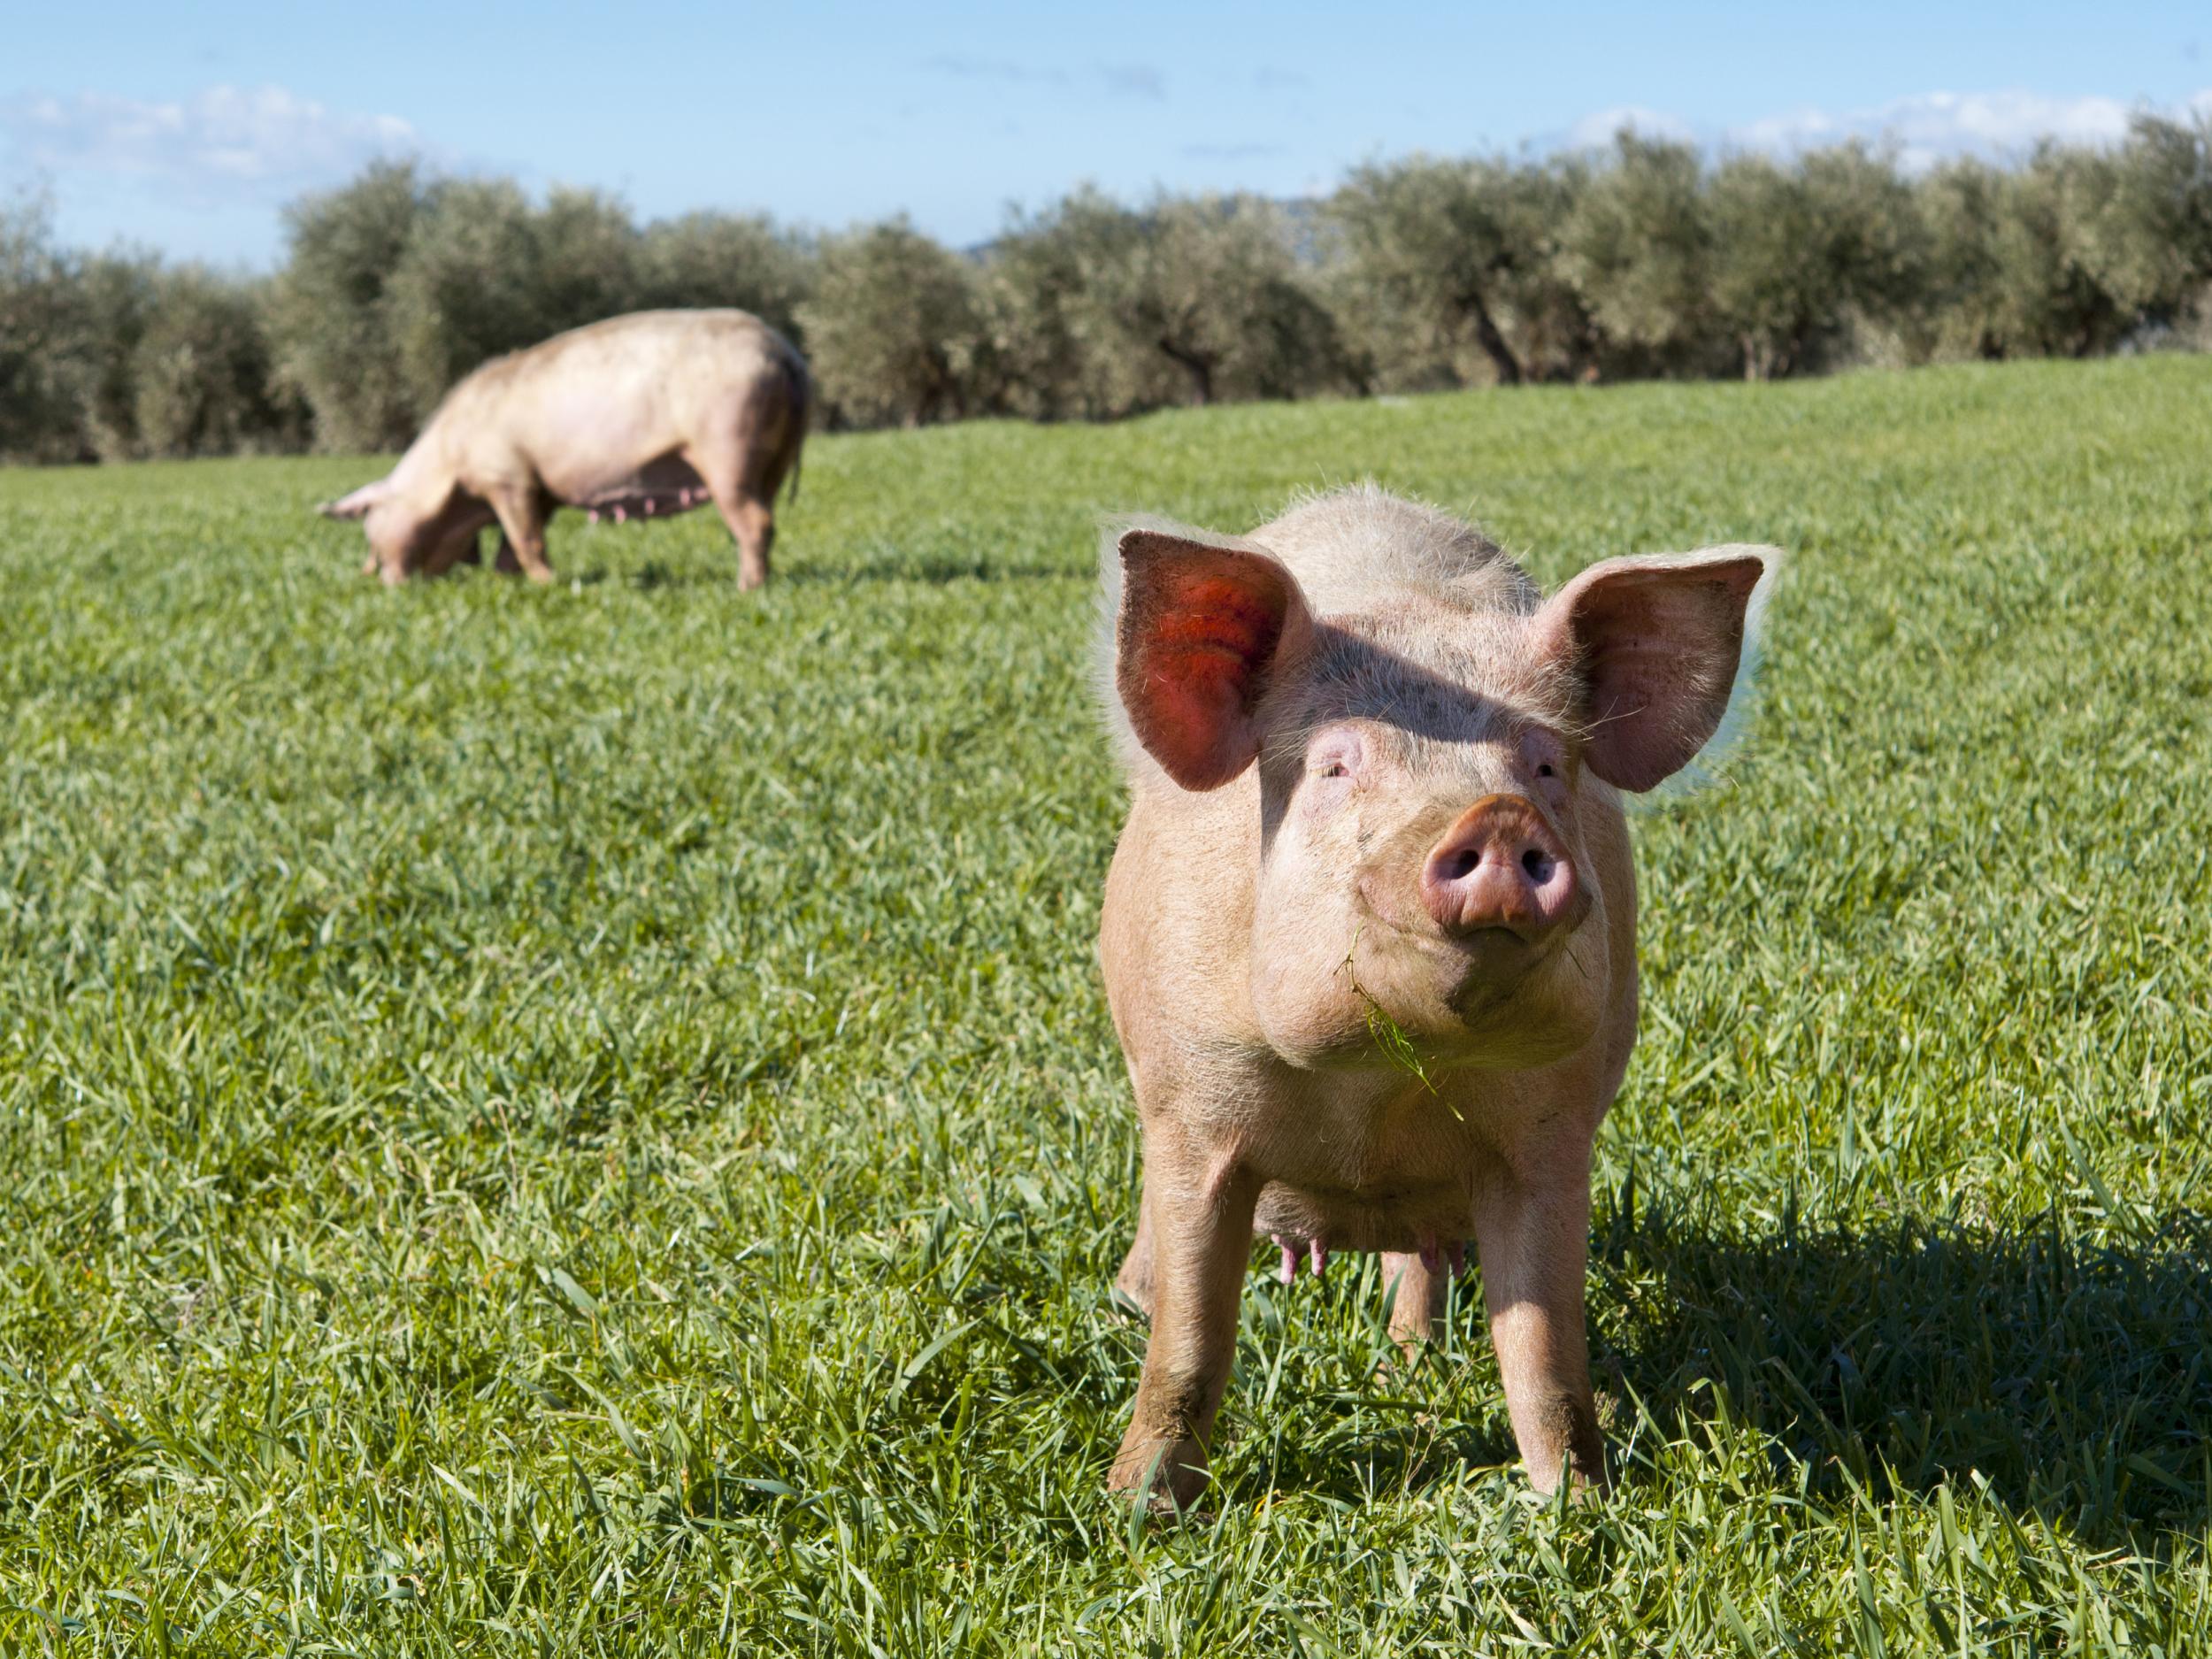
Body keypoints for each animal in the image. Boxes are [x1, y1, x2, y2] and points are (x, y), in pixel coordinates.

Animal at [320, 310, 814, 593]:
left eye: (370, 522)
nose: (375, 579)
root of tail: (784, 352)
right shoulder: (539, 489)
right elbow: (511, 545)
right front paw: (504, 583)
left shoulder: (509, 477)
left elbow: (527, 539)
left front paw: (550, 584)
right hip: (773, 457)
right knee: (766, 516)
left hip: (727, 444)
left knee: (755, 521)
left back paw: (745, 589)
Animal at [1097, 487, 1770, 1513]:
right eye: (1335, 765)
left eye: (1544, 765)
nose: (1493, 819)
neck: (1379, 1088)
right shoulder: (1192, 1106)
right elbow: (1189, 1343)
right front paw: (1133, 1514)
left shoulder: (1553, 1133)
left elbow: (1544, 1354)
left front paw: (1578, 1510)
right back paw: (1126, 1304)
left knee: (1417, 1266)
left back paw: (1409, 1368)